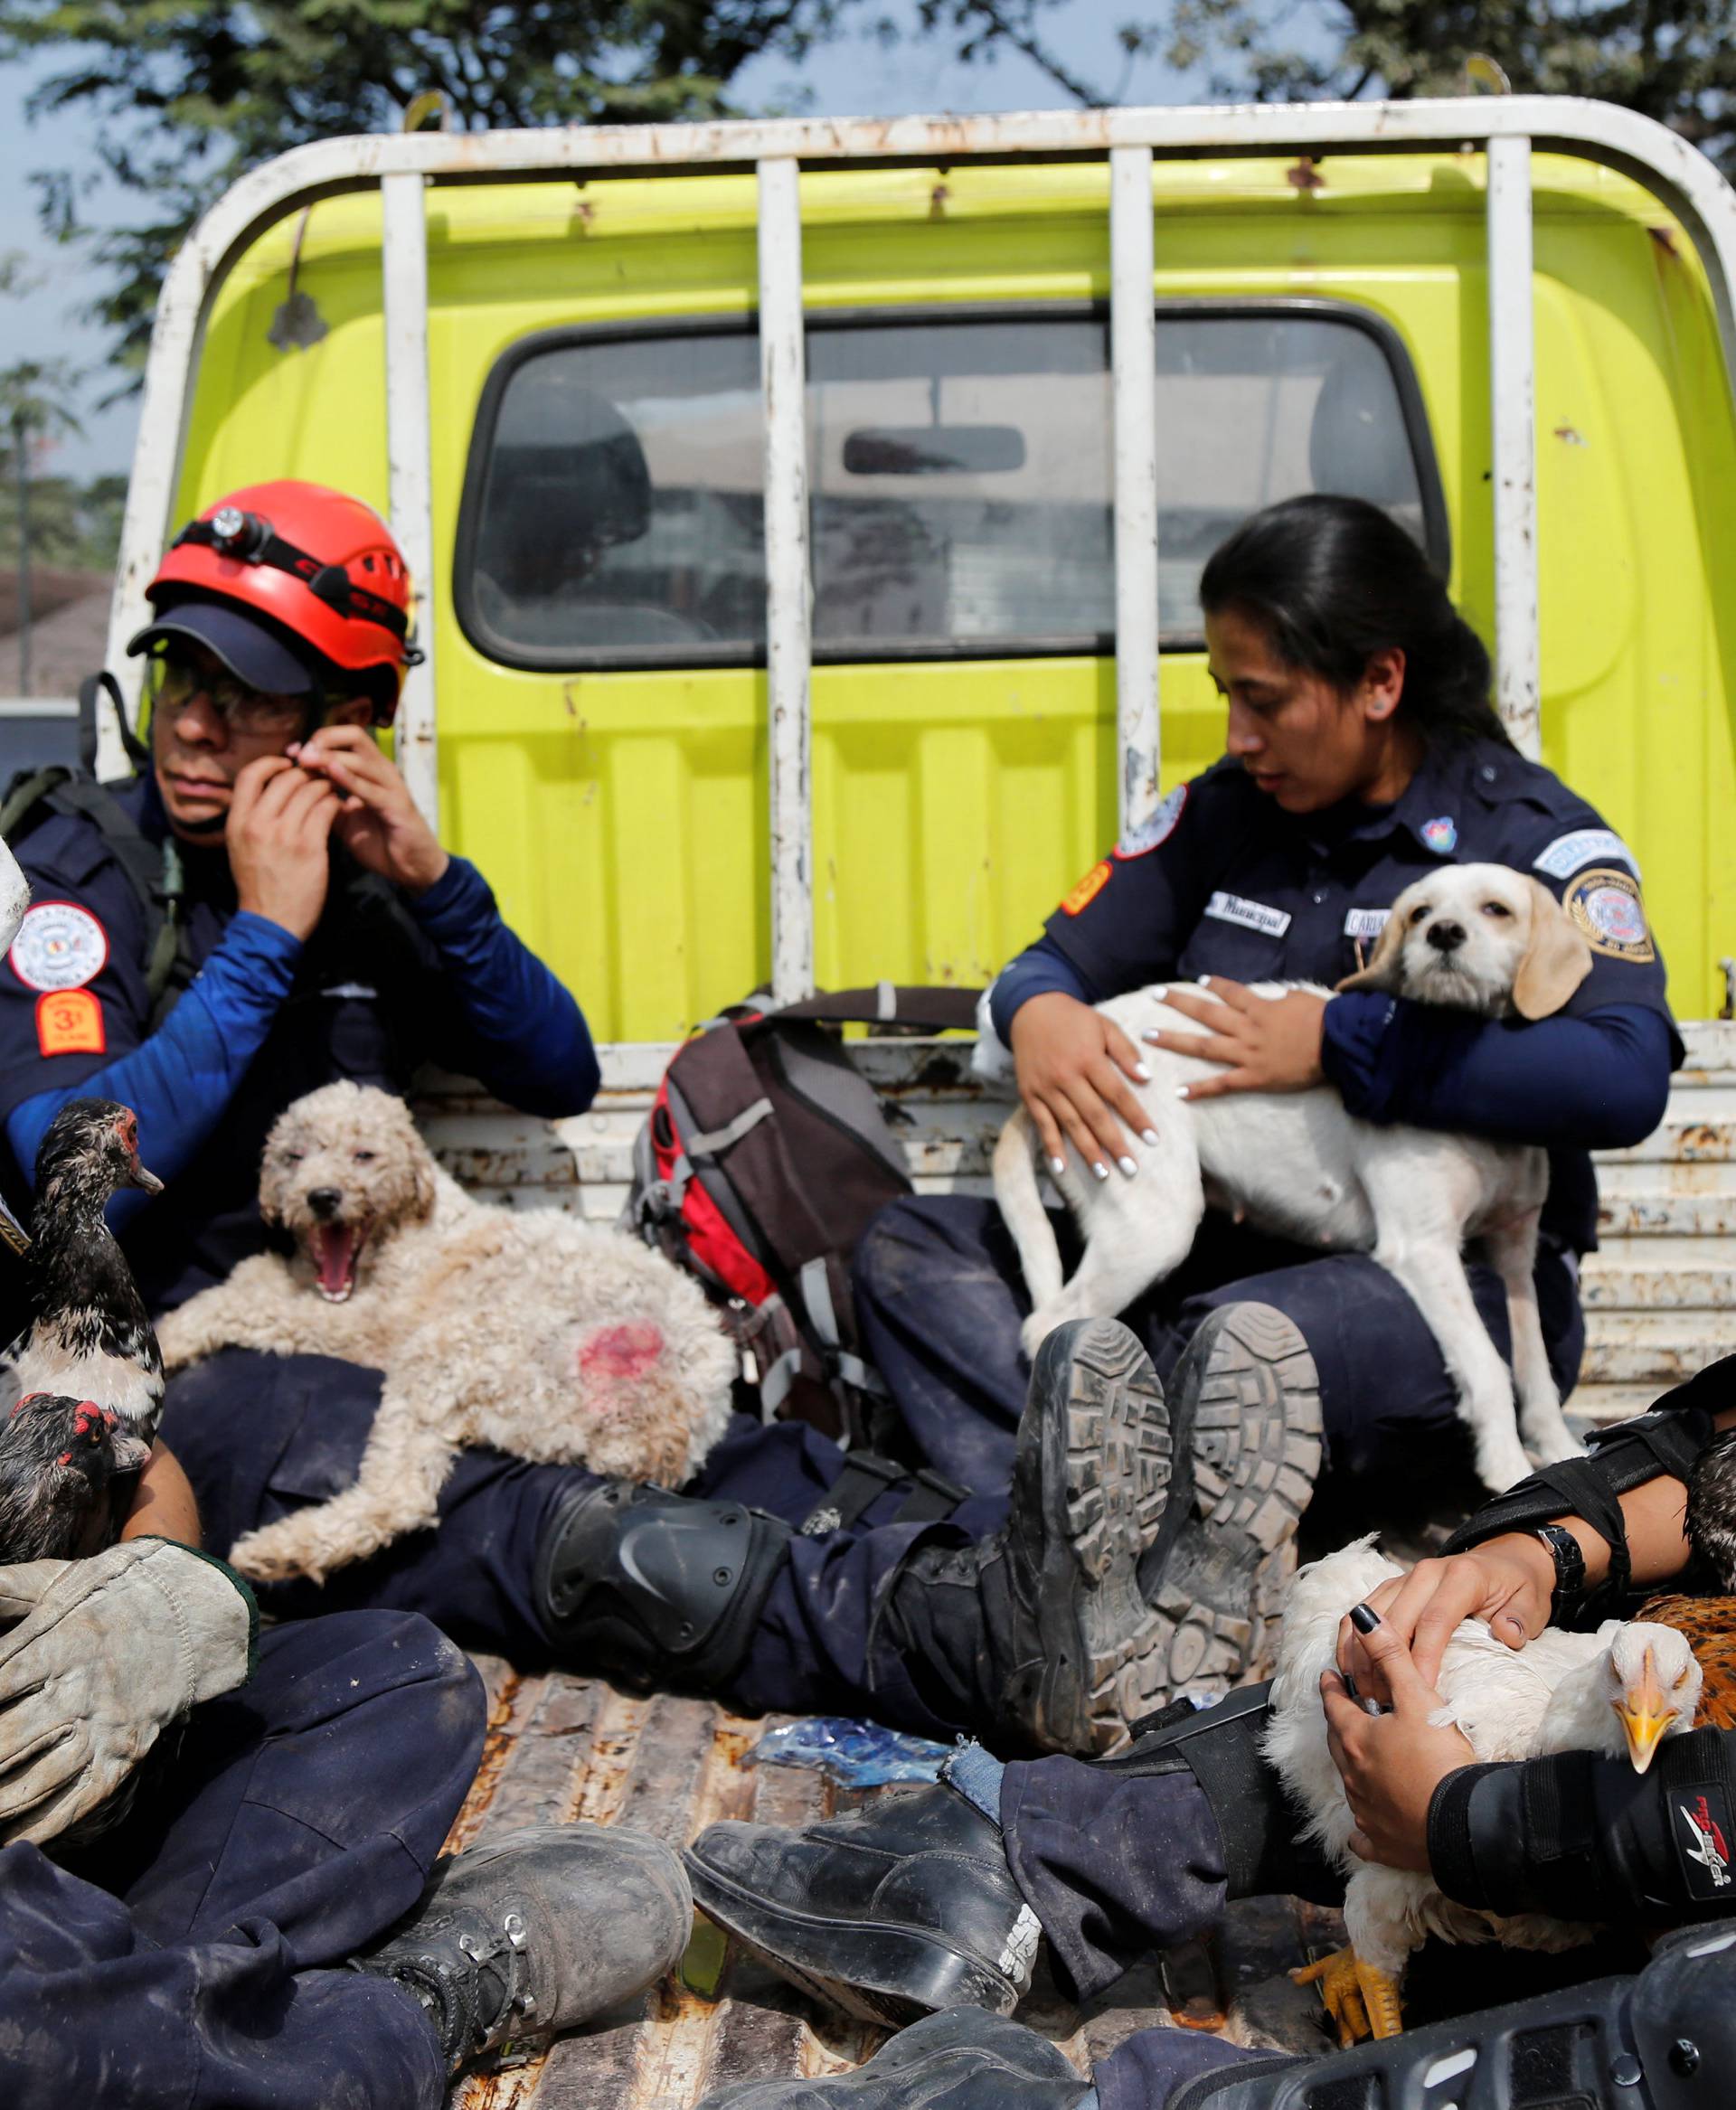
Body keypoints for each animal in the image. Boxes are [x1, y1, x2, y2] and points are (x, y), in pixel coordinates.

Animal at [154, 1088, 738, 1587]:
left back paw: (280, 1551)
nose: (322, 1198)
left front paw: (168, 1335)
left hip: (458, 1350)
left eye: (365, 1154)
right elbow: (256, 1277)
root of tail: (664, 1438)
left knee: (402, 1498)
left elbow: (250, 1306)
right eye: (294, 1156)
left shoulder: (377, 1325)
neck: (415, 1224)